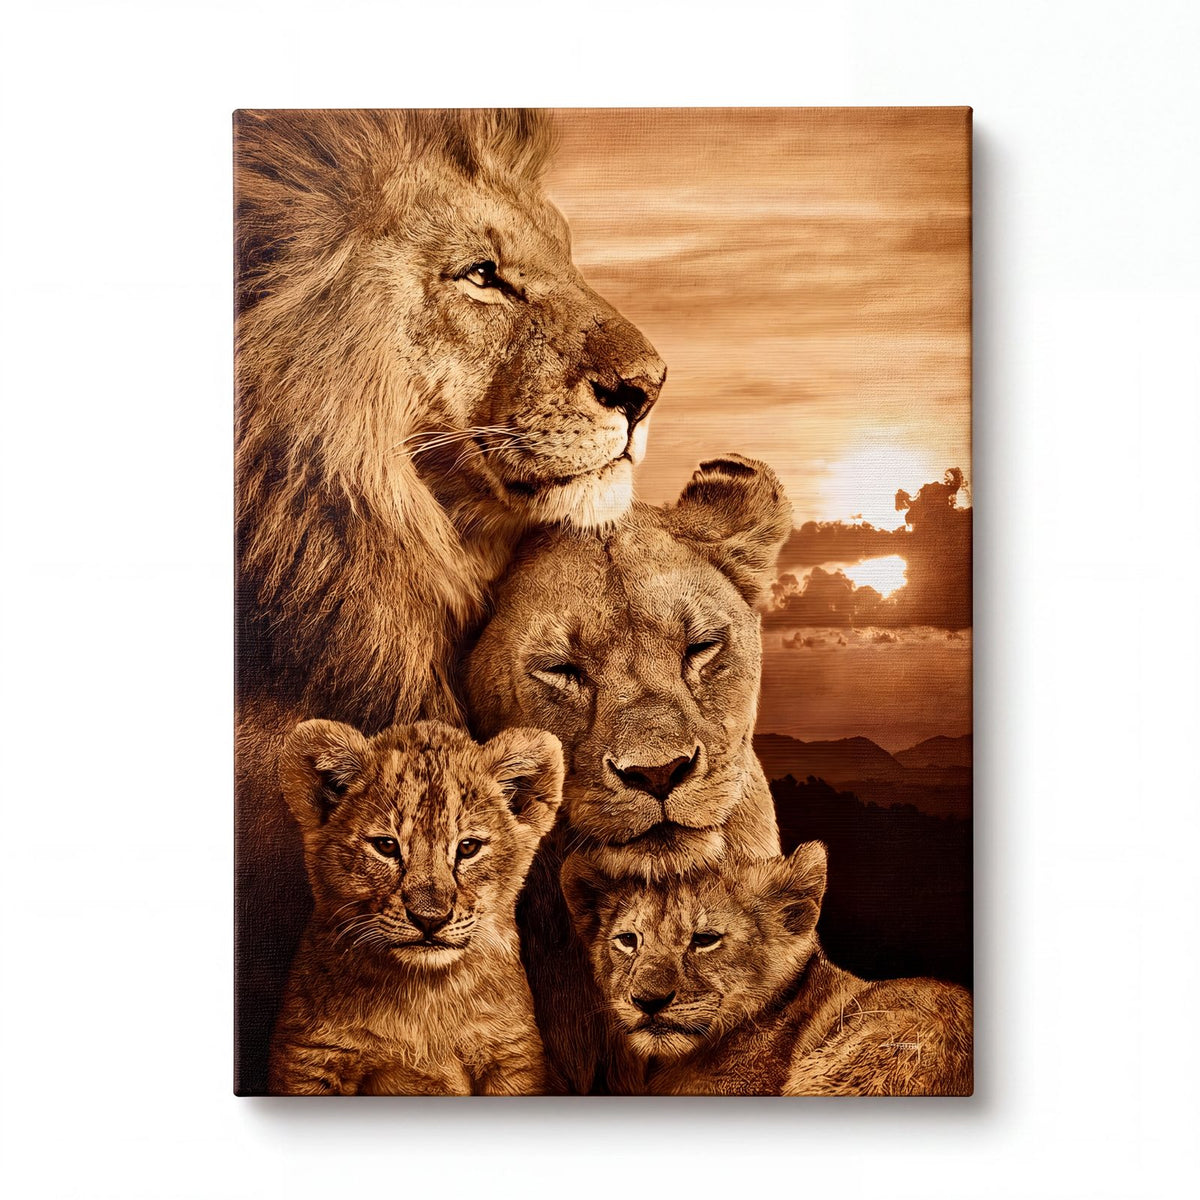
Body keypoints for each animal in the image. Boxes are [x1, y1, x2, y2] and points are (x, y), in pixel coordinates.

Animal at [268, 718, 562, 1095]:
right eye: (385, 846)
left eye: (468, 847)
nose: (429, 919)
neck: (424, 994)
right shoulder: (312, 1057)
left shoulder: (512, 1056)